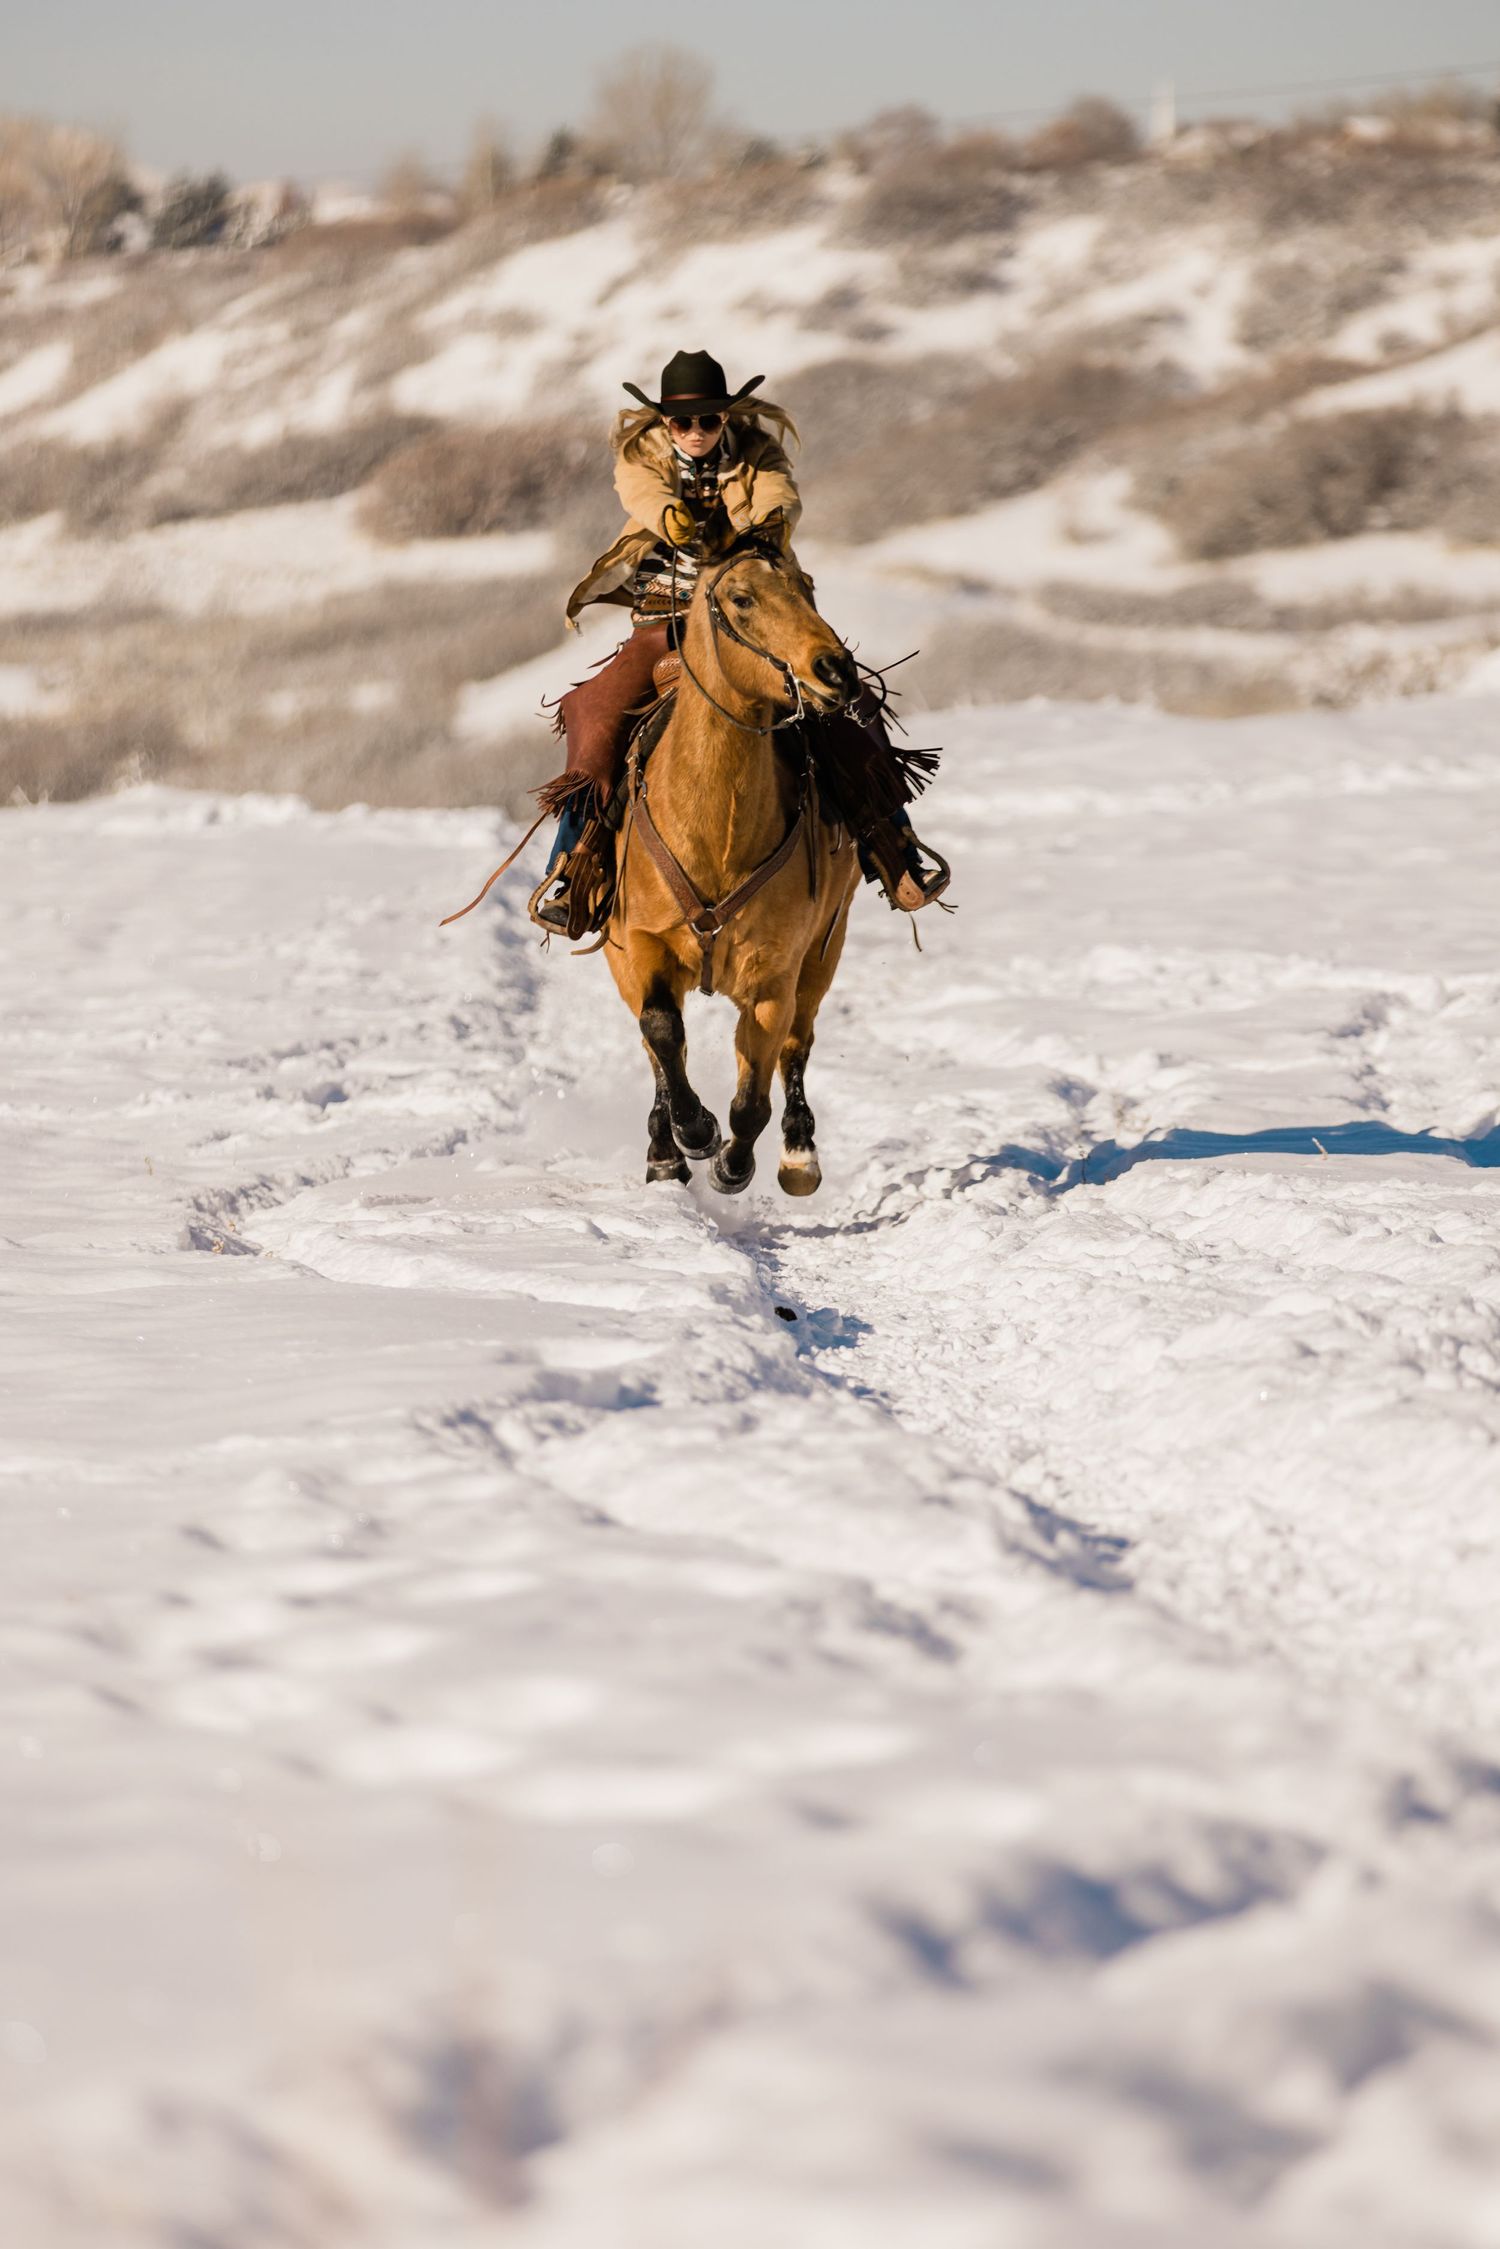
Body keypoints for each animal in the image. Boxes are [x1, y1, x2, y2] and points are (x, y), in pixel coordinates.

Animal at [607, 534, 863, 1198]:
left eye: (807, 587)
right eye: (742, 599)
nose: (836, 670)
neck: (714, 839)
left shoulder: (775, 973)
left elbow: (754, 1096)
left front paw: (732, 1162)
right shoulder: (640, 945)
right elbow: (661, 1032)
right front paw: (691, 1133)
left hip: (825, 950)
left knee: (799, 1043)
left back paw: (799, 1154)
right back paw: (664, 1148)